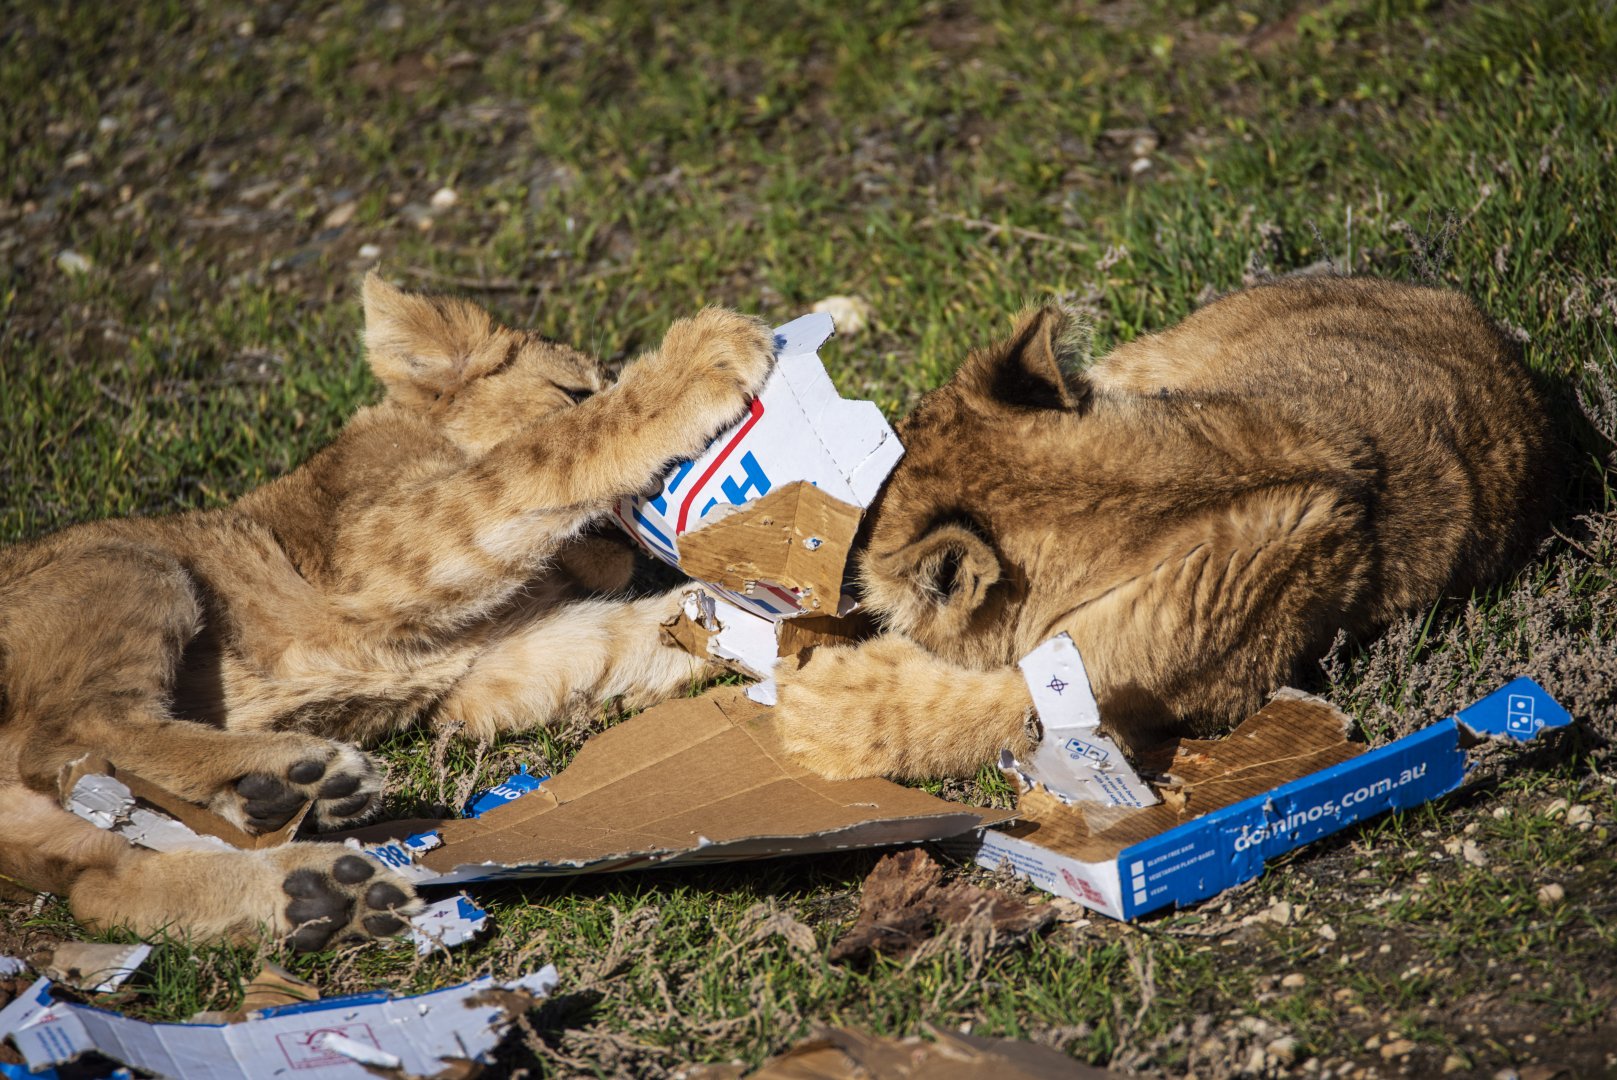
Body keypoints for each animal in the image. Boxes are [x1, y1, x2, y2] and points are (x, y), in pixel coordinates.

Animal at [0, 274, 775, 949]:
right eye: (575, 388)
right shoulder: (377, 551)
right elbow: (544, 455)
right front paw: (704, 355)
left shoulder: (489, 672)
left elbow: (630, 636)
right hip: (130, 563)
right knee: (76, 729)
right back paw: (297, 777)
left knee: (102, 894)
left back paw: (322, 886)